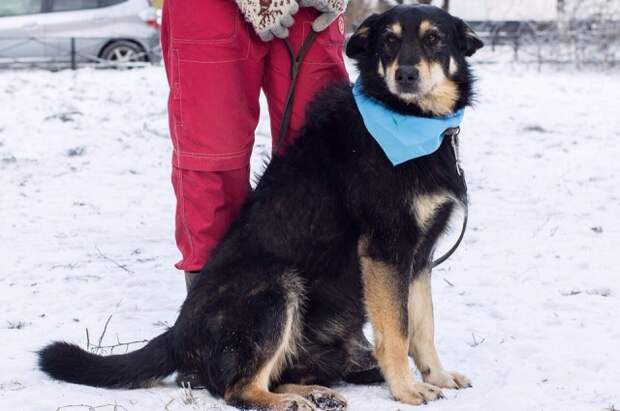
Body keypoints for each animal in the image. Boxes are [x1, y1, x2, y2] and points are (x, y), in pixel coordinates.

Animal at [38, 4, 484, 411]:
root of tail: (178, 333)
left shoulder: (419, 258)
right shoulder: (386, 253)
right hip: (275, 286)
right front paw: (406, 389)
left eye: (434, 39)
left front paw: (436, 375)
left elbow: (423, 326)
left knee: (272, 374)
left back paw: (317, 393)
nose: (405, 75)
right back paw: (288, 401)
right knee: (236, 389)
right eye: (388, 41)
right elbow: (397, 332)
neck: (408, 122)